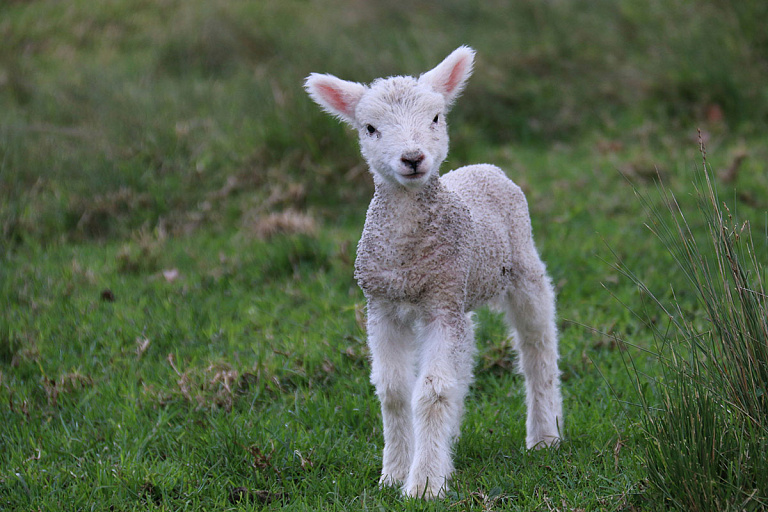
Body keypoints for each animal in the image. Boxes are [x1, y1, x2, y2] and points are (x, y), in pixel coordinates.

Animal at [304, 46, 564, 498]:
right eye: (370, 128)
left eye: (437, 118)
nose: (412, 158)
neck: (408, 255)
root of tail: (484, 167)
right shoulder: (383, 307)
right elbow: (394, 391)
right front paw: (393, 474)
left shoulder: (441, 304)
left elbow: (432, 392)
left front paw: (424, 483)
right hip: (461, 293)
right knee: (467, 355)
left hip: (521, 266)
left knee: (538, 347)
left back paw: (544, 436)